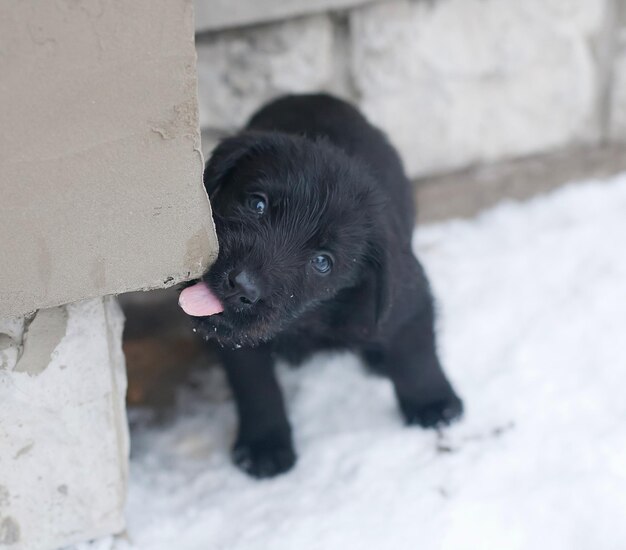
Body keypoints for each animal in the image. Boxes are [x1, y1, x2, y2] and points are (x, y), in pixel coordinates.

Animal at [178, 94, 460, 478]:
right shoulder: (238, 345)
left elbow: (418, 354)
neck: (304, 320)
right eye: (257, 204)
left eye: (322, 262)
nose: (241, 286)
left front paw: (435, 402)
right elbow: (257, 387)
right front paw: (265, 444)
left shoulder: (406, 298)